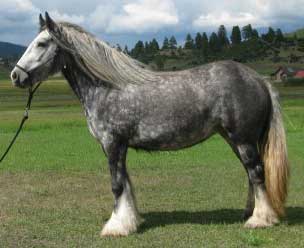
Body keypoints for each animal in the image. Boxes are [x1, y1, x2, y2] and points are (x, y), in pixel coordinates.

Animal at [10, 13, 288, 236]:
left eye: (42, 43)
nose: (15, 75)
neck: (106, 87)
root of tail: (259, 79)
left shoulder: (113, 144)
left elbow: (117, 185)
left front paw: (116, 227)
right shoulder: (117, 147)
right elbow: (126, 184)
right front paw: (130, 221)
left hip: (243, 140)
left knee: (256, 172)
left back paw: (260, 219)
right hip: (234, 140)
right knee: (250, 174)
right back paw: (250, 213)